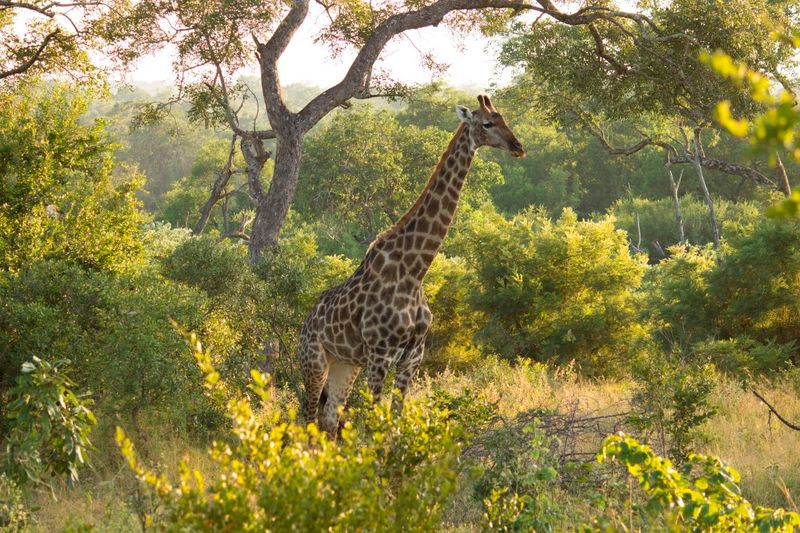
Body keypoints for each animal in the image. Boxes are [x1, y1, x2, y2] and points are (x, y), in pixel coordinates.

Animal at [298, 94, 525, 435]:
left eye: (504, 118)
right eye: (487, 123)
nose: (517, 146)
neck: (415, 271)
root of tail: (306, 322)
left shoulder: (412, 358)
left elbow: (395, 422)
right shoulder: (380, 355)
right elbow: (373, 426)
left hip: (345, 365)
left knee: (329, 419)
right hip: (314, 361)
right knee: (308, 418)